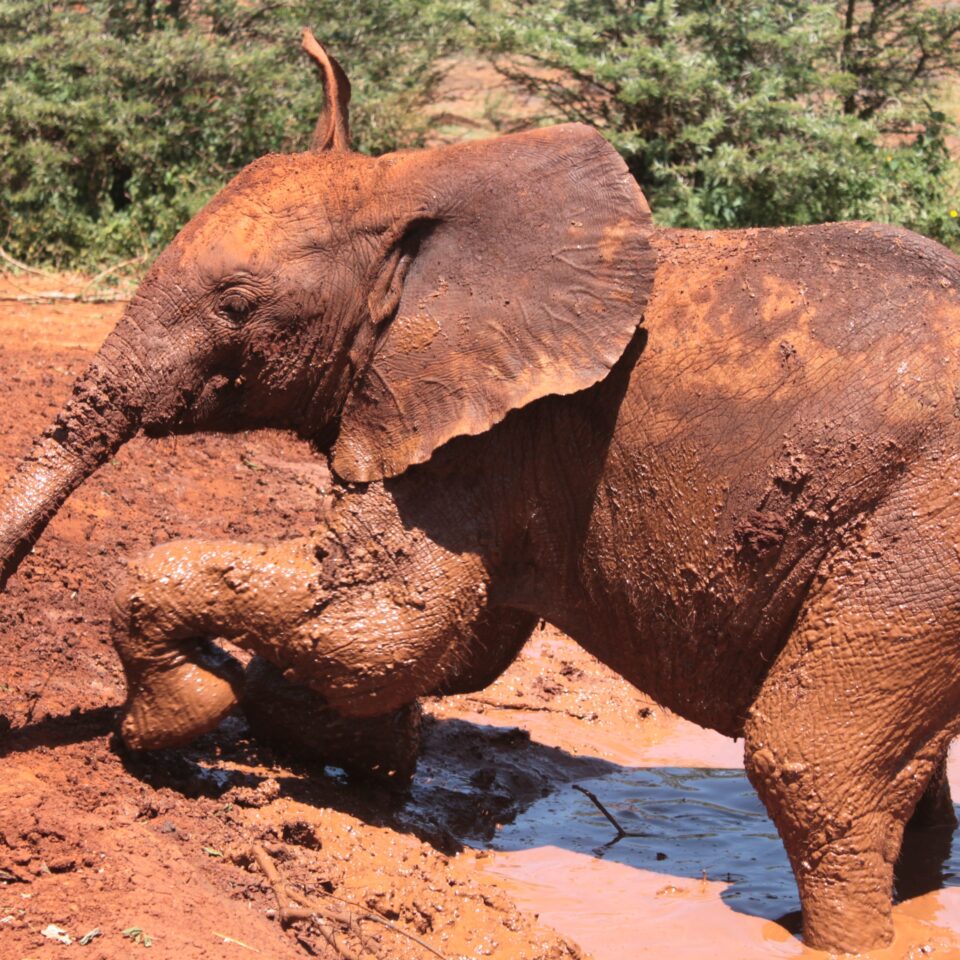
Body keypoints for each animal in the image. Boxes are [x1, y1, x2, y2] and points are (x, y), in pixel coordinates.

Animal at [1, 28, 960, 952]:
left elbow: (389, 629)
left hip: (922, 532)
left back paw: (845, 937)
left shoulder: (491, 432)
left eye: (236, 305)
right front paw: (344, 744)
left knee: (811, 762)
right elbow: (448, 642)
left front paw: (177, 715)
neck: (416, 187)